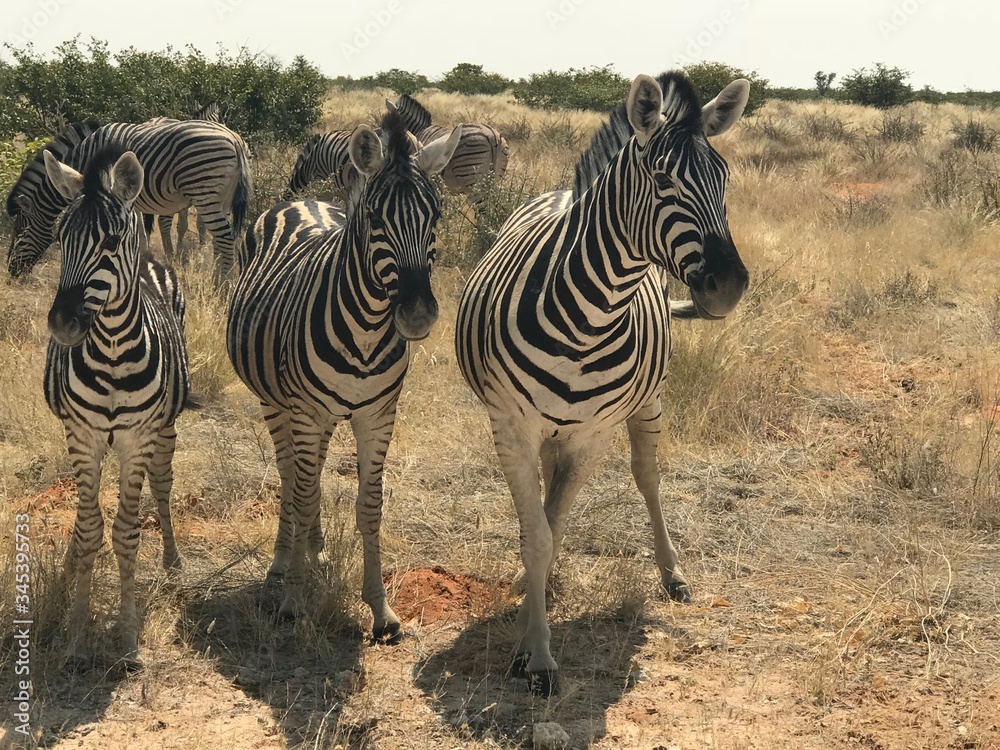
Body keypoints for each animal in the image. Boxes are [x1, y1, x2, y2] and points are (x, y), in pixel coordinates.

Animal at [7, 117, 252, 281]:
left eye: (20, 231)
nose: (11, 271)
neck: (84, 158)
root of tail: (234, 139)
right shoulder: (133, 201)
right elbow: (140, 236)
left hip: (204, 190)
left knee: (224, 238)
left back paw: (223, 286)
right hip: (223, 199)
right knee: (222, 239)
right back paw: (216, 279)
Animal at [42, 146, 191, 669]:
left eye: (109, 241)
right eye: (59, 238)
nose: (63, 324)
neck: (109, 350)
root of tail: (148, 256)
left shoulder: (136, 438)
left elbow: (127, 532)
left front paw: (127, 635)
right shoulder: (82, 436)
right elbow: (89, 528)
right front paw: (77, 632)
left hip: (165, 430)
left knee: (163, 487)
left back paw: (172, 561)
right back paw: (68, 569)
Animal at [227, 112, 461, 641]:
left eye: (436, 217)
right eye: (374, 219)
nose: (417, 315)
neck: (369, 329)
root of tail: (304, 200)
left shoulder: (378, 415)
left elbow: (369, 505)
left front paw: (381, 610)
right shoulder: (306, 412)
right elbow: (303, 490)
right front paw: (294, 599)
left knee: (309, 474)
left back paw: (313, 548)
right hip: (278, 403)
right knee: (292, 475)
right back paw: (282, 563)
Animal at [454, 72, 751, 695]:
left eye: (725, 178)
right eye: (662, 180)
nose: (729, 286)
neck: (587, 319)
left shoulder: (592, 436)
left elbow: (554, 525)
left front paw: (531, 641)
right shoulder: (511, 427)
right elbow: (538, 534)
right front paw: (538, 651)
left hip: (647, 403)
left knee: (647, 477)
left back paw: (671, 572)